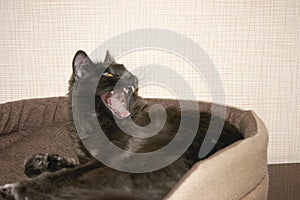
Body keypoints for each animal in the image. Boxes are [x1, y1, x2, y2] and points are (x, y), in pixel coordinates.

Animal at [0, 50, 243, 200]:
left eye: (128, 72)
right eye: (109, 73)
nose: (134, 78)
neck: (96, 121)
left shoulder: (105, 162)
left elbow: (64, 177)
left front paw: (18, 187)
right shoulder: (88, 157)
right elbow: (71, 164)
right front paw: (44, 161)